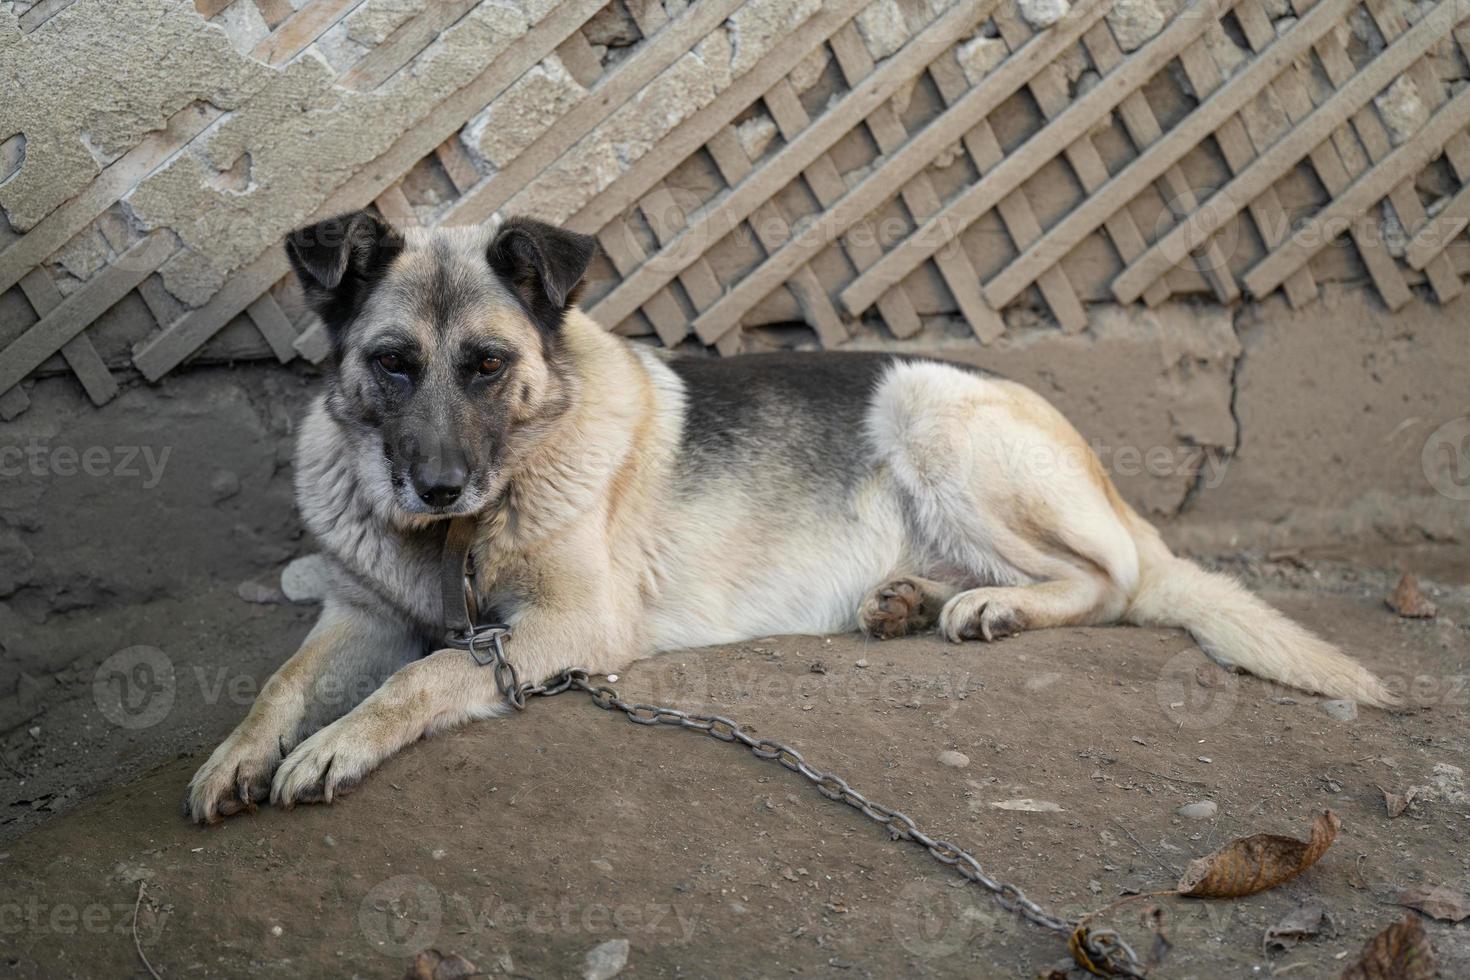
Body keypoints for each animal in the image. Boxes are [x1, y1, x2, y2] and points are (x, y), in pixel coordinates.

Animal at [183, 211, 1387, 822]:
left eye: (486, 365)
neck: (458, 540)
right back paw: (914, 599)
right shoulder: (362, 614)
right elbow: (283, 682)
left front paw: (337, 745)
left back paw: (990, 608)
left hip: (929, 410)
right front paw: (239, 753)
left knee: (1114, 582)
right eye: (392, 363)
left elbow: (426, 673)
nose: (438, 488)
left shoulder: (565, 627)